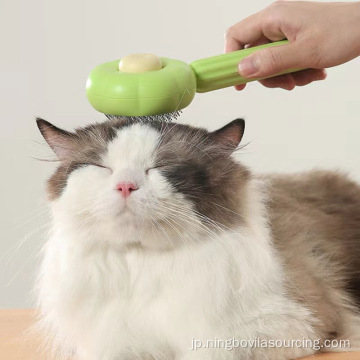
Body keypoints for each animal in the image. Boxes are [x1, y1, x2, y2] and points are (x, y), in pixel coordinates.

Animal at [35, 116, 360, 358]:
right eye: (103, 168)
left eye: (161, 167)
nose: (125, 186)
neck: (145, 264)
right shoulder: (115, 341)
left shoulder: (290, 324)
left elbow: (208, 349)